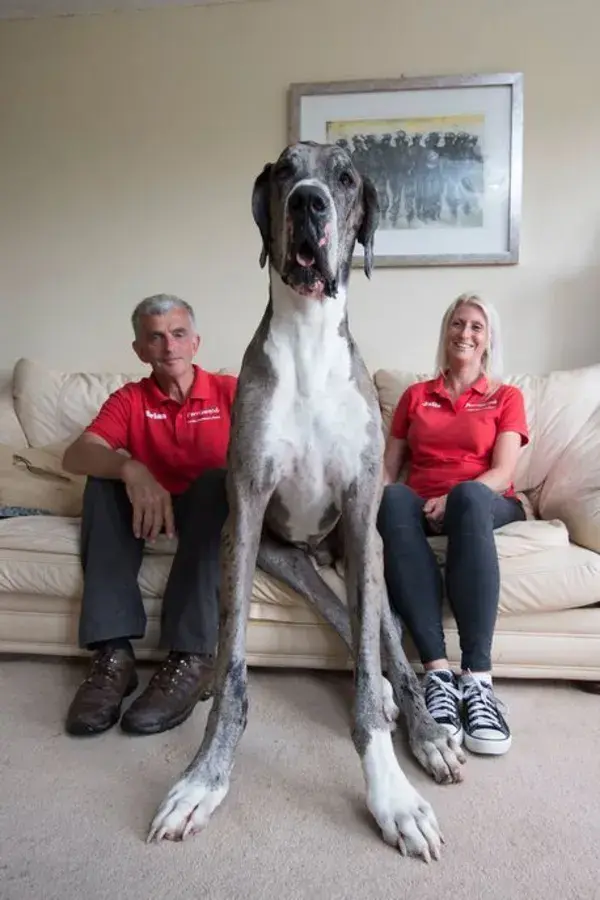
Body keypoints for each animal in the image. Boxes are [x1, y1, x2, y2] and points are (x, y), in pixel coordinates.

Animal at [145, 139, 464, 856]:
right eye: (286, 172)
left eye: (345, 178)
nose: (308, 203)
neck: (310, 340)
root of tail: (319, 554)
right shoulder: (246, 511)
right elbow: (234, 668)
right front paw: (204, 778)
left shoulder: (362, 508)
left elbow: (373, 669)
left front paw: (393, 795)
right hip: (283, 558)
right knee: (345, 619)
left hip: (367, 551)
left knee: (387, 640)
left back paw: (426, 731)